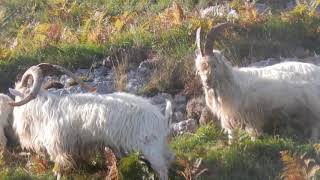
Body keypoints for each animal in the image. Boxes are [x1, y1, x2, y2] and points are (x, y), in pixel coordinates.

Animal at [8, 63, 174, 179]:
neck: (44, 109)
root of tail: (161, 118)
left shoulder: (59, 151)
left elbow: (60, 172)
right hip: (159, 148)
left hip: (151, 150)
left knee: (163, 171)